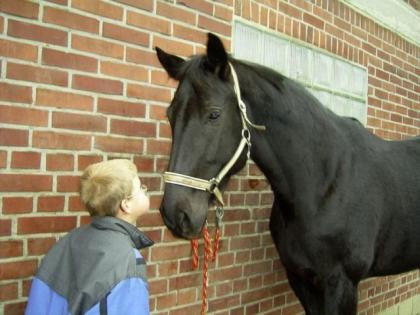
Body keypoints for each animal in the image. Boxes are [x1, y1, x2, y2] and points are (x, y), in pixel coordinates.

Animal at [155, 33, 420, 314]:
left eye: (214, 114)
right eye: (170, 115)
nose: (174, 214)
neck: (324, 184)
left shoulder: (343, 284)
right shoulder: (301, 278)